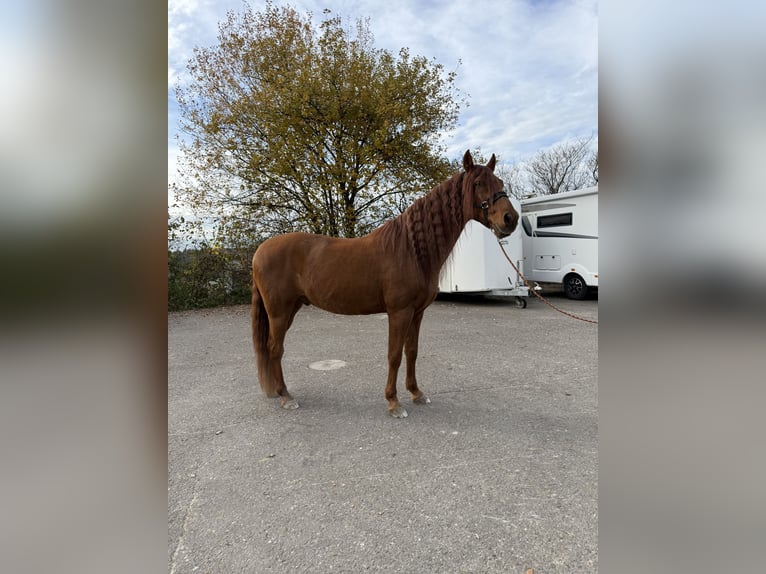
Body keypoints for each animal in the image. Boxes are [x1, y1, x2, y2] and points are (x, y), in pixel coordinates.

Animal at [251, 150, 519, 418]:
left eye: (500, 183)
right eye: (478, 183)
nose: (511, 218)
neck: (411, 249)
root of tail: (259, 251)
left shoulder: (417, 313)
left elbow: (412, 352)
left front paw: (416, 393)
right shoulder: (399, 312)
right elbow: (394, 355)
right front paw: (394, 402)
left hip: (291, 309)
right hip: (279, 312)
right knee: (275, 348)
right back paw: (286, 396)